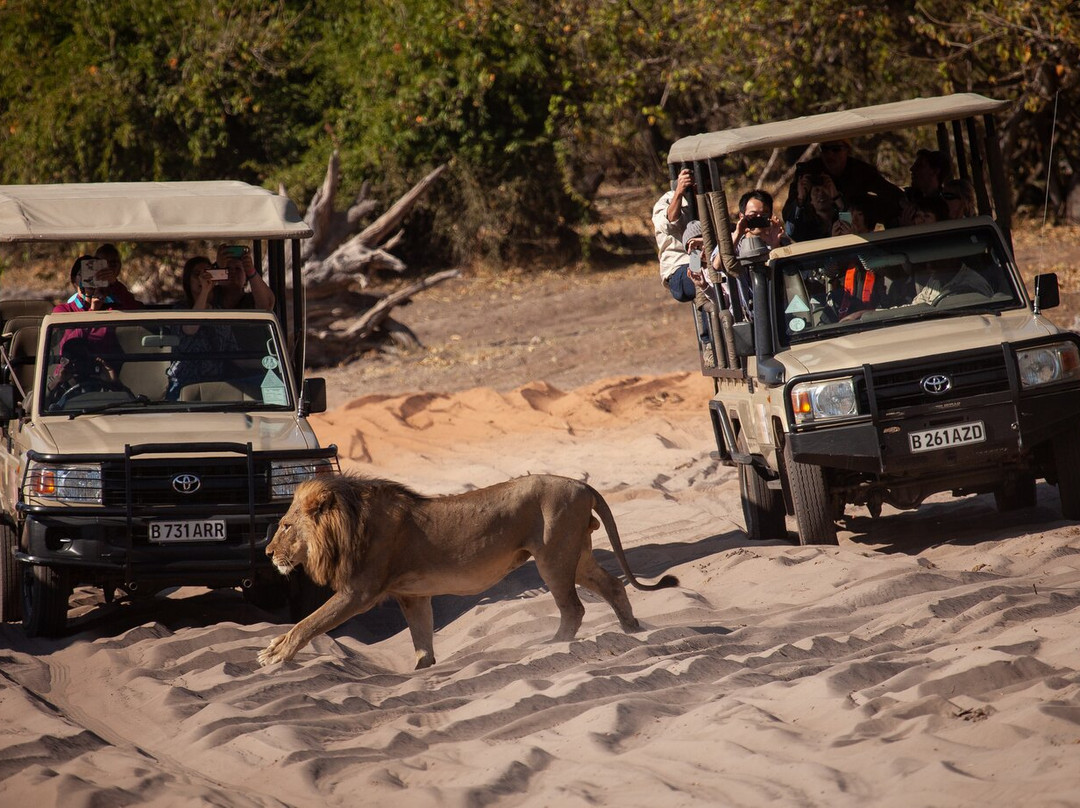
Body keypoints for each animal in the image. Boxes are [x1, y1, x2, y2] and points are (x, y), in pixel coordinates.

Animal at [255, 473, 673, 669]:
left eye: (286, 526)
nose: (268, 552)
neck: (350, 523)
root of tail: (582, 484)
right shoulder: (412, 595)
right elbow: (421, 636)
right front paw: (422, 668)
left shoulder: (358, 592)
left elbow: (308, 623)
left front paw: (274, 655)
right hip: (577, 556)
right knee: (613, 586)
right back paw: (633, 630)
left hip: (553, 557)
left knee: (574, 608)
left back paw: (551, 644)